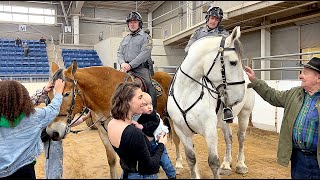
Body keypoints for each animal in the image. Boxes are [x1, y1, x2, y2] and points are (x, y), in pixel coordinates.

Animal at [45, 61, 182, 179]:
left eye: (66, 94)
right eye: (49, 94)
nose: (53, 132)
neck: (109, 96)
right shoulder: (103, 133)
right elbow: (112, 159)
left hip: (172, 119)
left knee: (176, 139)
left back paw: (179, 163)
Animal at [168, 25, 255, 179]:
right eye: (233, 62)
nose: (239, 95)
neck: (186, 93)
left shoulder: (209, 130)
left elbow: (213, 162)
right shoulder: (182, 131)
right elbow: (191, 159)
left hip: (245, 114)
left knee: (241, 137)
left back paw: (240, 164)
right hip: (224, 120)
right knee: (229, 137)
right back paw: (226, 165)